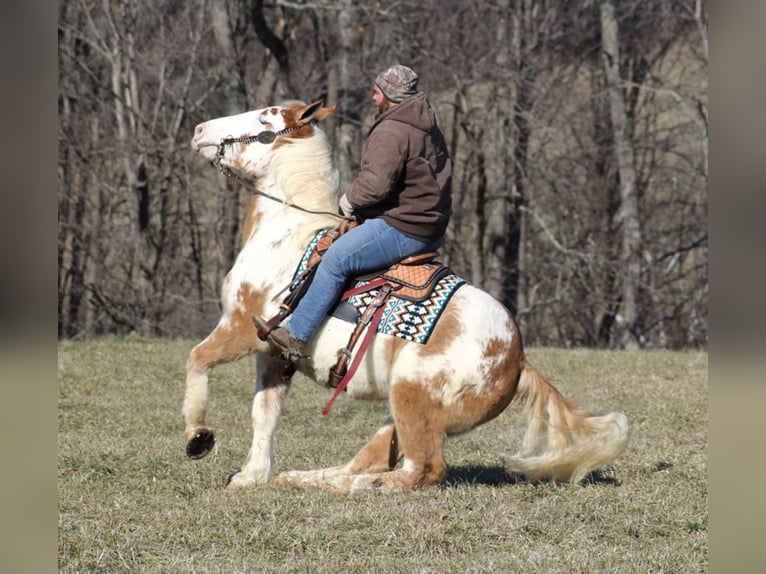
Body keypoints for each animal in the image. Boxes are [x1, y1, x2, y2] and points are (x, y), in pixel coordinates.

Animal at [184, 100, 632, 496]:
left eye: (264, 120)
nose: (200, 129)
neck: (286, 235)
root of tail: (517, 359)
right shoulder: (274, 355)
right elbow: (265, 414)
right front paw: (252, 476)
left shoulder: (242, 328)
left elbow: (197, 360)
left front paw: (198, 436)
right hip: (400, 413)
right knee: (373, 459)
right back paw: (306, 479)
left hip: (411, 398)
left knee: (422, 469)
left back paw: (353, 487)